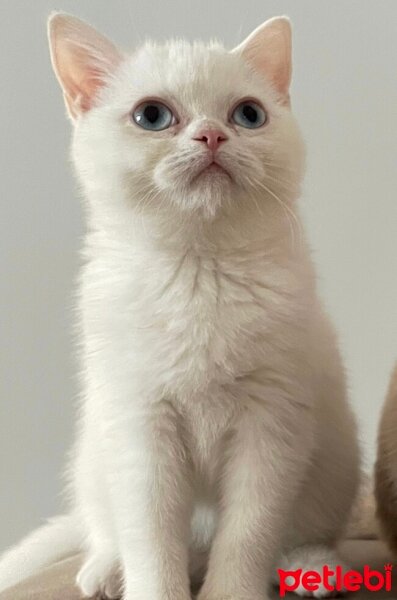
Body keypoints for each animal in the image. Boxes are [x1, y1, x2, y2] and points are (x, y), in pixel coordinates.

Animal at [0, 12, 358, 600]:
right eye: (152, 116)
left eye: (249, 114)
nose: (212, 134)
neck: (199, 269)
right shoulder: (141, 425)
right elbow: (149, 534)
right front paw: (152, 587)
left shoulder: (271, 421)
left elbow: (249, 530)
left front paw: (231, 591)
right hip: (95, 452)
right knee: (108, 528)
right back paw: (104, 569)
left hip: (335, 460)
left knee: (297, 532)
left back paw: (311, 566)